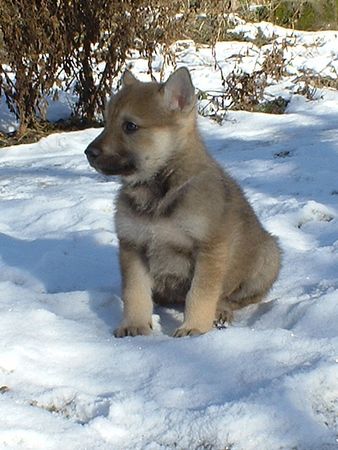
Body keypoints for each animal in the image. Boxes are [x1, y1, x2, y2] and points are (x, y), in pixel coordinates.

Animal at [86, 65, 282, 336]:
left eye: (130, 126)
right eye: (107, 122)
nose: (88, 153)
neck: (159, 193)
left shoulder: (209, 249)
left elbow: (200, 294)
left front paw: (195, 328)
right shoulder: (133, 246)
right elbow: (135, 292)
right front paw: (135, 324)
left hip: (269, 256)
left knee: (233, 298)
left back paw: (221, 311)